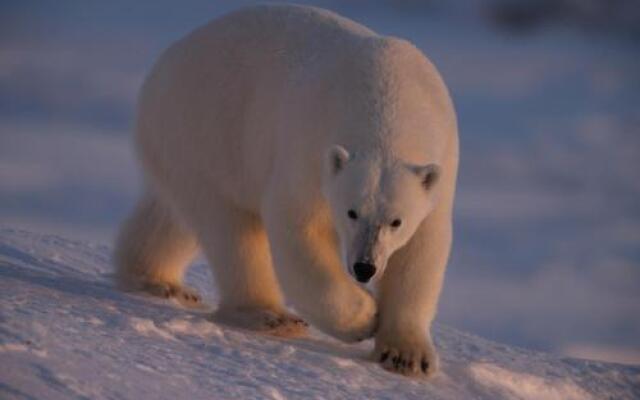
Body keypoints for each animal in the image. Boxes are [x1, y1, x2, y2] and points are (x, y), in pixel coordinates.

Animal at [114, 4, 456, 376]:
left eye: (396, 221)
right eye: (351, 212)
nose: (364, 268)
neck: (388, 98)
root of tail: (165, 62)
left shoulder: (442, 162)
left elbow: (421, 251)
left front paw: (407, 356)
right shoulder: (309, 146)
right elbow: (298, 228)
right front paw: (365, 316)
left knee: (171, 215)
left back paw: (158, 280)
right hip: (204, 129)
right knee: (230, 227)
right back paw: (271, 315)